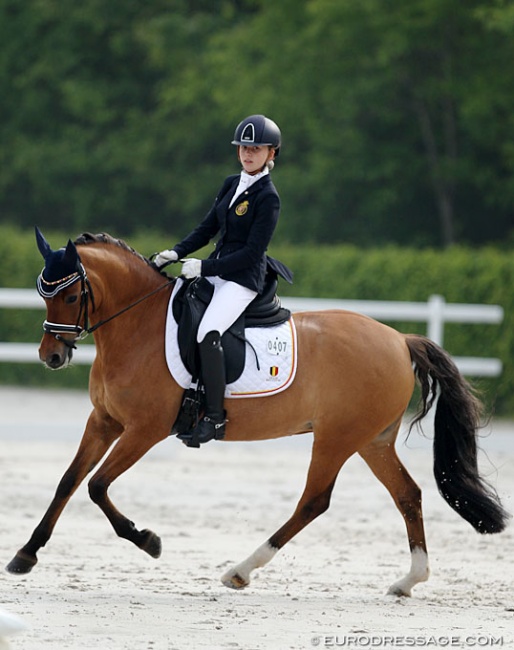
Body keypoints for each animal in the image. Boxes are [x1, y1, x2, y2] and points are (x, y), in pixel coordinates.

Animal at [5, 229, 508, 596]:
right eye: (43, 294)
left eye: (71, 297)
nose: (52, 356)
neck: (137, 327)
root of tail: (400, 339)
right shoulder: (104, 421)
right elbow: (68, 481)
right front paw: (25, 555)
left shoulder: (145, 430)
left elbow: (97, 486)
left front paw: (148, 541)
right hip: (372, 440)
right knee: (407, 495)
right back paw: (409, 580)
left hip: (336, 439)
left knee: (314, 502)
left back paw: (241, 570)